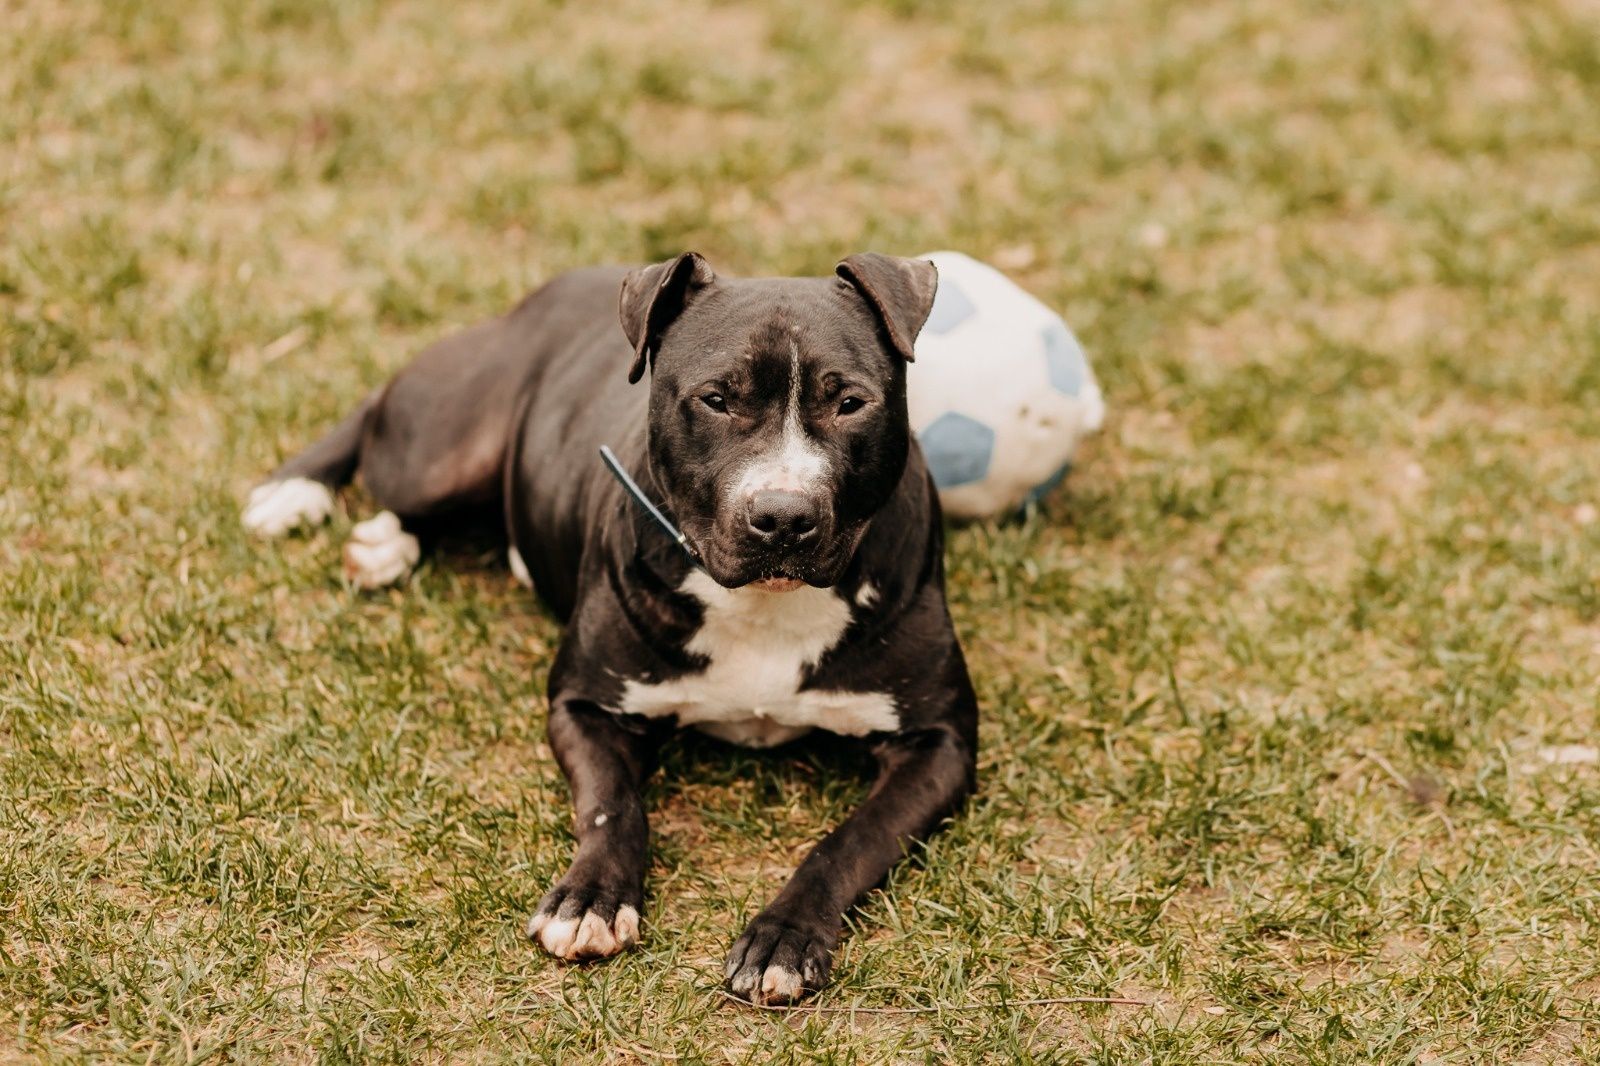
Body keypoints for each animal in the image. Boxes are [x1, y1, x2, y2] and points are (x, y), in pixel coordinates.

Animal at [243, 252, 979, 998]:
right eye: (717, 399)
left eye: (850, 402)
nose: (782, 516)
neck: (765, 603)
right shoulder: (583, 704)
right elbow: (613, 804)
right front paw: (591, 897)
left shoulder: (940, 743)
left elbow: (849, 840)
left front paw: (786, 935)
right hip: (443, 450)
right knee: (377, 421)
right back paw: (299, 493)